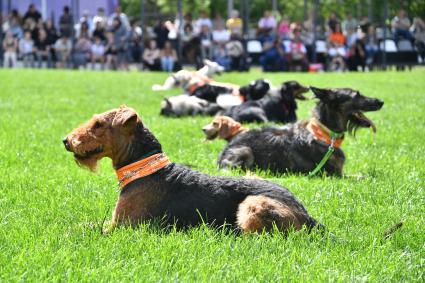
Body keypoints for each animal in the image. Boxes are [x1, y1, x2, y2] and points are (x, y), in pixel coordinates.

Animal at [62, 105, 322, 234]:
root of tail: (309, 217)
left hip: (253, 204)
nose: (66, 140)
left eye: (98, 124)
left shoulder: (122, 227)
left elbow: (87, 229)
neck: (145, 167)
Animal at [219, 86, 384, 176]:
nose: (381, 101)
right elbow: (360, 176)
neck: (325, 133)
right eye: (356, 95)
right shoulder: (335, 174)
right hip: (245, 151)